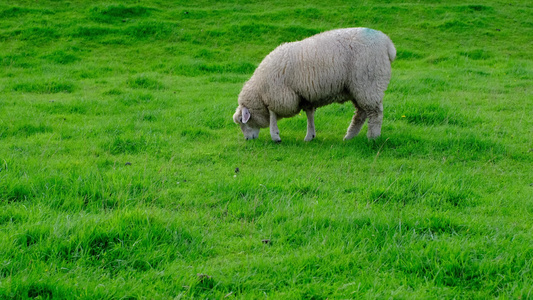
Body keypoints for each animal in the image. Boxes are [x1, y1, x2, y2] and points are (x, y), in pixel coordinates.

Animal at [233, 26, 394, 142]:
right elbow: (310, 115)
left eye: (242, 121)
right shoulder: (305, 96)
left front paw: (275, 135)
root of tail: (387, 44)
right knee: (361, 113)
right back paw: (349, 137)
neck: (259, 90)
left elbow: (272, 113)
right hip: (357, 88)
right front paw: (310, 136)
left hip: (369, 83)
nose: (247, 139)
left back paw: (372, 138)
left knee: (375, 113)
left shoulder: (279, 95)